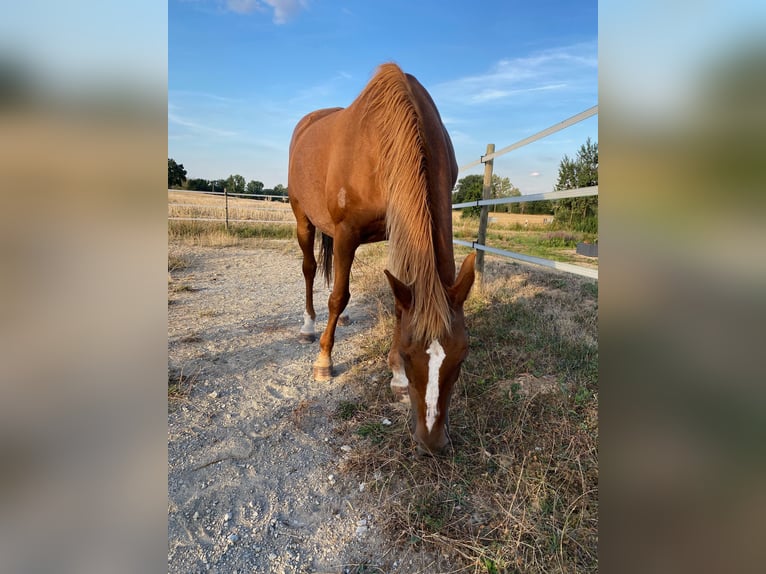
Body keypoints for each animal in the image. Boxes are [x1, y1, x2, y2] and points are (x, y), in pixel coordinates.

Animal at [288, 63, 476, 456]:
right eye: (408, 352)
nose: (431, 442)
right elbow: (338, 296)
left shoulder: (397, 230)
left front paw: (397, 380)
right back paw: (310, 327)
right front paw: (325, 362)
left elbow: (397, 304)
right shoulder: (346, 232)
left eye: (463, 355)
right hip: (303, 219)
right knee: (311, 271)